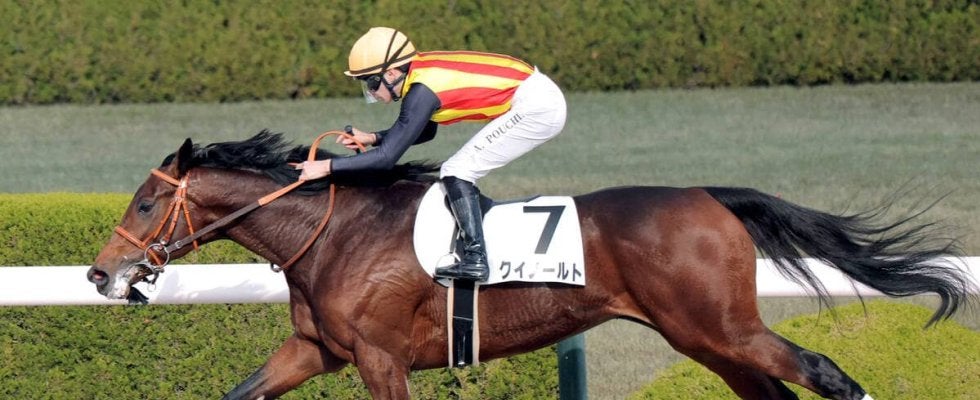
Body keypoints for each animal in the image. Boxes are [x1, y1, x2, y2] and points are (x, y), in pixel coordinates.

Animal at [88, 131, 974, 400]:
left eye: (145, 202)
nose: (99, 274)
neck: (333, 234)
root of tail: (708, 196)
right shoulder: (319, 350)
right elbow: (242, 391)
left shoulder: (379, 356)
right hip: (704, 337)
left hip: (719, 325)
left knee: (822, 370)